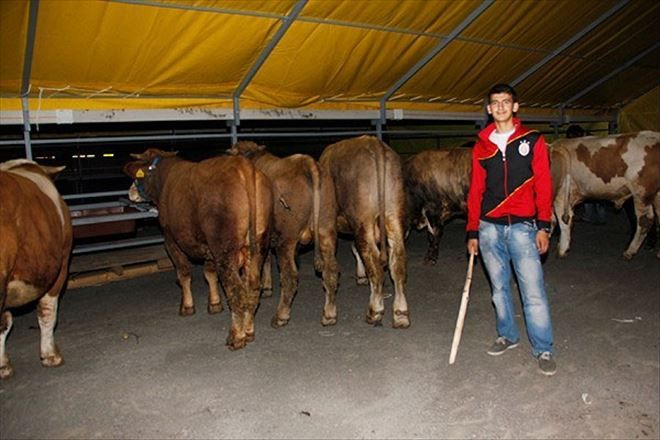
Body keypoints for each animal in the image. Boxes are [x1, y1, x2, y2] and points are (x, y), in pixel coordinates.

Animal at [125, 150, 272, 348]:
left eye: (138, 176)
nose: (131, 191)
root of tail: (243, 165)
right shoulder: (208, 248)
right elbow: (209, 274)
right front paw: (215, 304)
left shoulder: (171, 240)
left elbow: (184, 274)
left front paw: (187, 306)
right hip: (256, 248)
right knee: (252, 289)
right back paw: (248, 331)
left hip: (224, 251)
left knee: (237, 291)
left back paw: (236, 337)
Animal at [226, 140, 324, 326]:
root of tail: (303, 161)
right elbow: (266, 260)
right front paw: (267, 288)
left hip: (286, 242)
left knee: (290, 277)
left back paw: (280, 316)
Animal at [318, 136, 408, 328]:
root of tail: (374, 143)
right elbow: (354, 249)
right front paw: (360, 276)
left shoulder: (326, 227)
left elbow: (330, 270)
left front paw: (329, 314)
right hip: (393, 216)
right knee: (397, 264)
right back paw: (400, 315)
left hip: (363, 221)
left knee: (374, 263)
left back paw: (375, 311)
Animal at [552, 131, 660, 262]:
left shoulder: (560, 195)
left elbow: (563, 221)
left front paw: (562, 250)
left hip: (642, 191)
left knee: (645, 220)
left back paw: (629, 251)